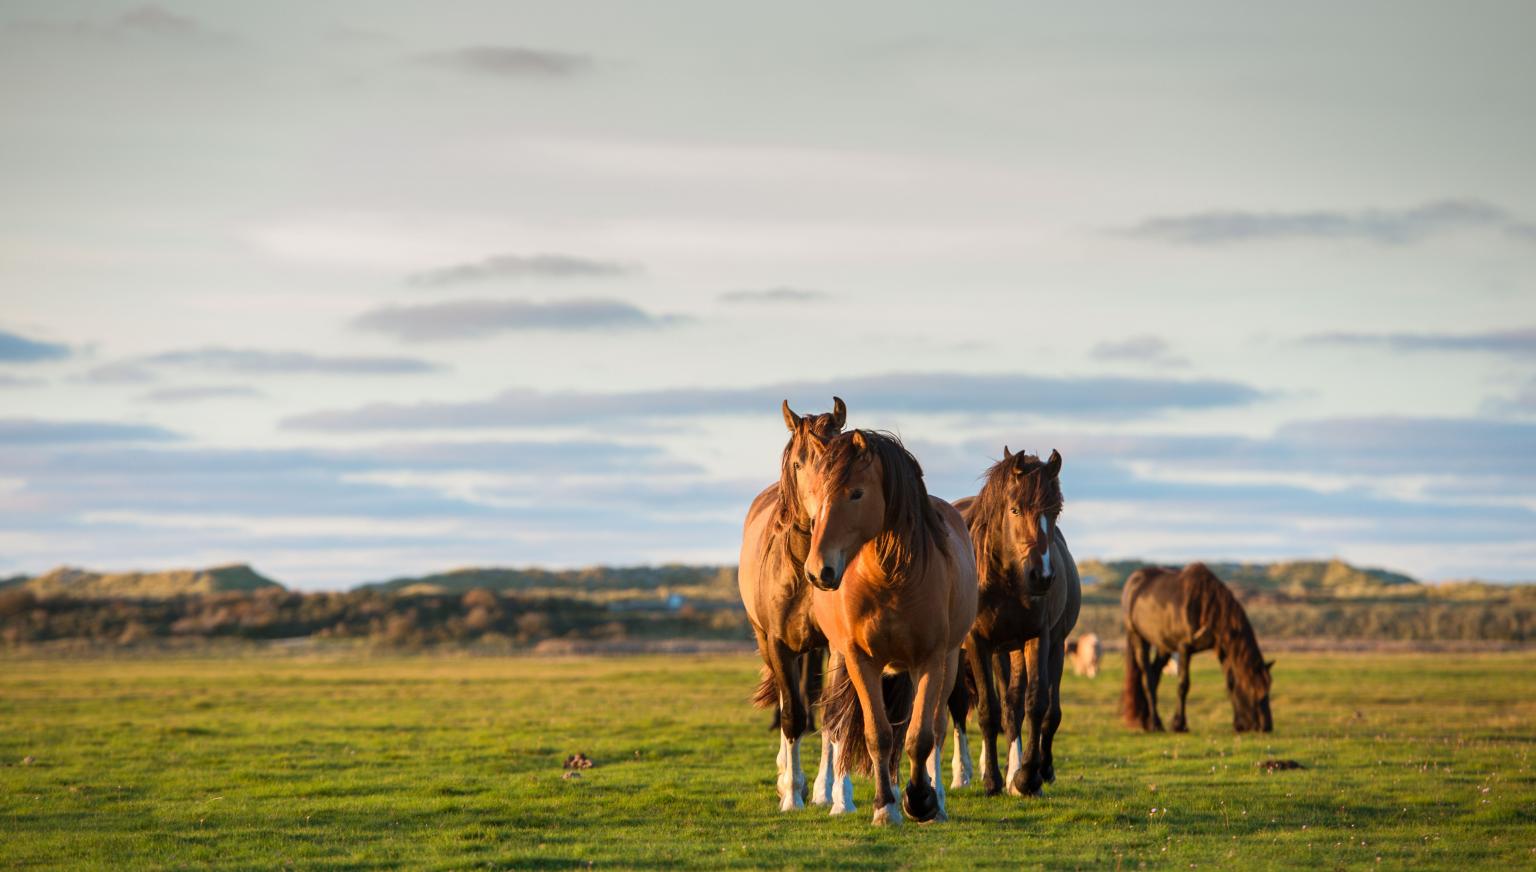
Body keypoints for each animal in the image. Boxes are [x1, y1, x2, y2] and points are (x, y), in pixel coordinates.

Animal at [737, 399, 847, 816]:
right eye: (799, 464)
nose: (825, 516)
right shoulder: (779, 644)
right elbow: (791, 716)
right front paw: (791, 796)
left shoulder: (836, 646)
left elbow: (832, 716)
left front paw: (831, 794)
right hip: (767, 641)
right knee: (789, 703)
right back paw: (786, 777)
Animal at [804, 429, 970, 822]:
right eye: (815, 493)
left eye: (856, 493)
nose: (818, 570)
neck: (889, 579)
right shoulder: (860, 660)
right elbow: (878, 734)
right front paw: (885, 807)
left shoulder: (929, 660)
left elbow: (920, 736)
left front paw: (920, 799)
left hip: (948, 661)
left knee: (936, 727)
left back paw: (937, 801)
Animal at [946, 448, 1081, 798]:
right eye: (1015, 509)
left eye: (1056, 510)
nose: (1042, 577)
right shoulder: (978, 644)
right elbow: (988, 711)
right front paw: (992, 780)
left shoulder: (1038, 638)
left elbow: (1035, 704)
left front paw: (1027, 777)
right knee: (966, 707)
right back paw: (967, 774)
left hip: (1028, 649)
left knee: (1025, 708)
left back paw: (1024, 772)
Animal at [1124, 561, 1277, 733]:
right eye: (1252, 689)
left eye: (1267, 688)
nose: (1267, 726)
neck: (1205, 604)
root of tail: (1134, 580)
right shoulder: (1184, 648)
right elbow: (1183, 685)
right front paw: (1179, 724)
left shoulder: (1223, 650)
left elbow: (1230, 683)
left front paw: (1238, 724)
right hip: (1138, 637)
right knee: (1147, 678)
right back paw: (1155, 724)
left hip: (1163, 645)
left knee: (1155, 674)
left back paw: (1149, 722)